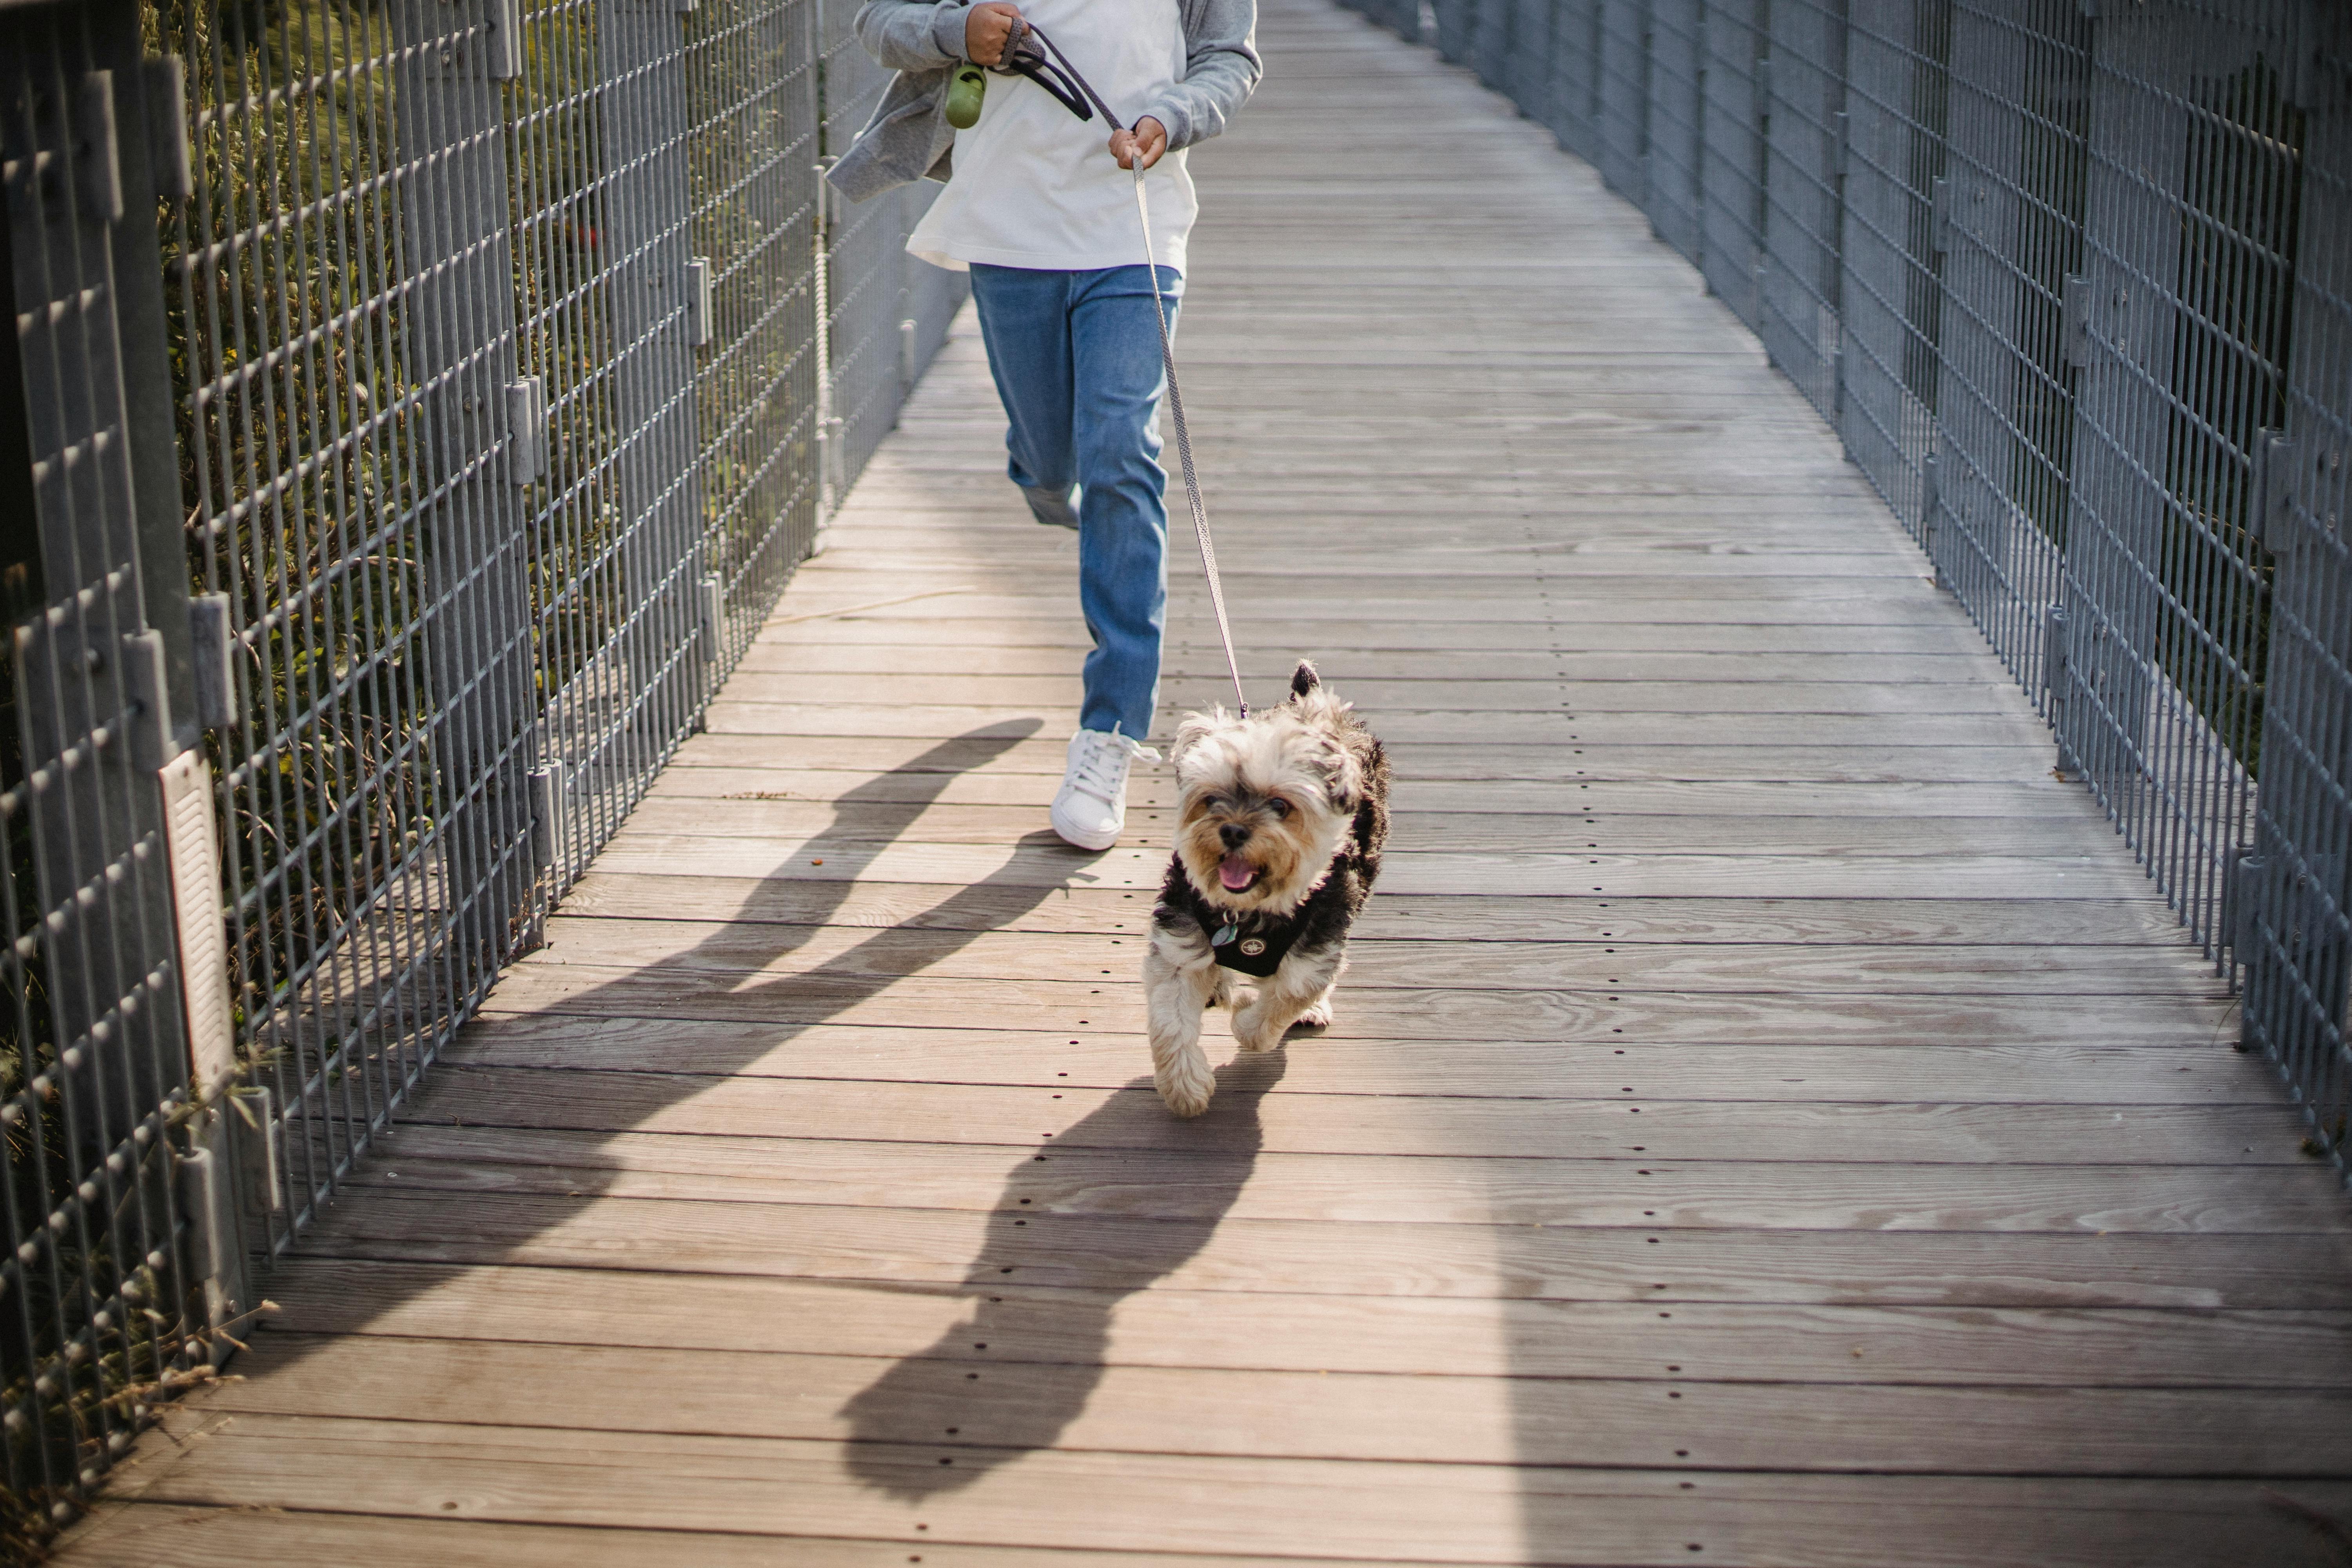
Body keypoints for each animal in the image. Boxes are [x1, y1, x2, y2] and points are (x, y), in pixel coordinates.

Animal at [1148, 658, 1383, 1114]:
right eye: (1210, 800)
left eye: (1280, 805)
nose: (1233, 830)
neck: (1246, 913)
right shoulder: (1180, 943)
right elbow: (1172, 1022)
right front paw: (1186, 1088)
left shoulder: (1313, 951)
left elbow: (1278, 1006)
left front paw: (1246, 1015)